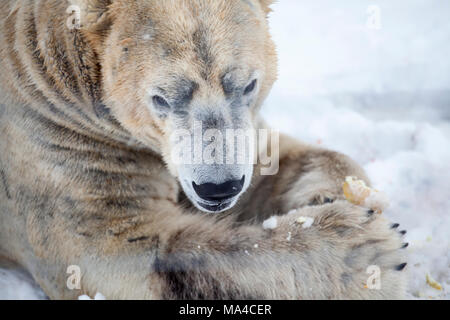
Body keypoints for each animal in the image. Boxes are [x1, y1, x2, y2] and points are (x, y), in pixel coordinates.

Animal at [0, 0, 408, 300]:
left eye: (248, 84)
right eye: (160, 98)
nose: (217, 188)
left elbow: (271, 161)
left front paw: (332, 196)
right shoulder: (62, 152)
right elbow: (125, 256)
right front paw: (367, 251)